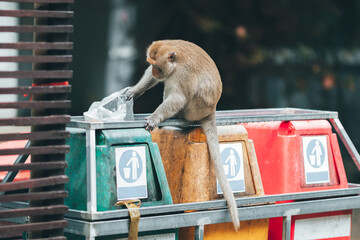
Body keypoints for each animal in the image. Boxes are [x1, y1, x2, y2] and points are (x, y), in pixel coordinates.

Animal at [125, 39, 240, 231]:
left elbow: (178, 97)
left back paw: (176, 115)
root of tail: (212, 109)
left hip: (197, 106)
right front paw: (135, 90)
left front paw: (155, 117)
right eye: (151, 64)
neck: (175, 63)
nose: (155, 71)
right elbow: (152, 80)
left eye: (157, 65)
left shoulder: (183, 75)